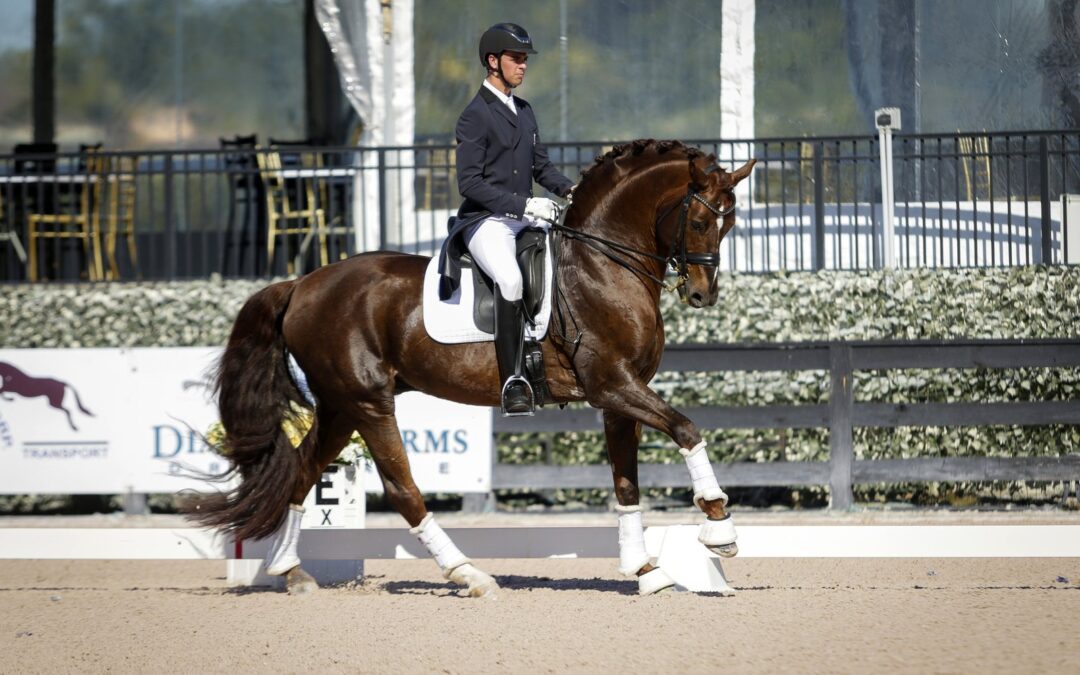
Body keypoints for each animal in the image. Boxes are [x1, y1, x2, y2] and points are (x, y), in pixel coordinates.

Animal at [185, 138, 756, 596]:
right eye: (699, 221)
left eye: (729, 224)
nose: (702, 294)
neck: (602, 266)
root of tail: (302, 282)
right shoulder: (611, 385)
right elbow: (686, 428)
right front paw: (719, 527)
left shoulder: (620, 396)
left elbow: (627, 484)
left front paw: (646, 572)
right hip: (368, 402)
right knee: (402, 488)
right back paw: (468, 574)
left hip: (340, 406)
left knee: (302, 470)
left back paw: (292, 572)